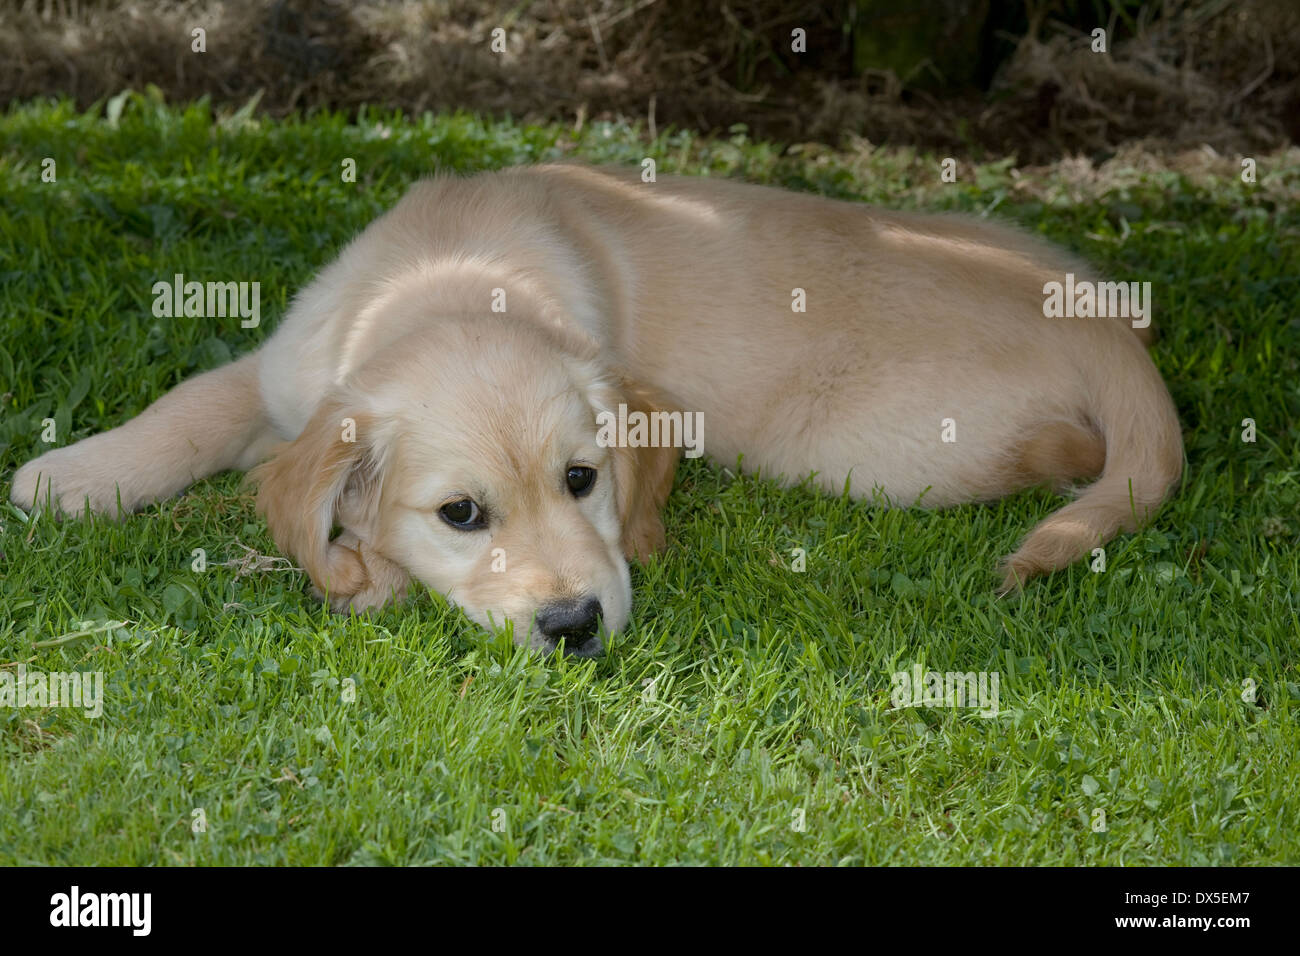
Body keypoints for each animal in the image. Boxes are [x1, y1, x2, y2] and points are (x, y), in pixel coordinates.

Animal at [12, 166, 1190, 658]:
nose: (576, 625)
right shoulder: (288, 369)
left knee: (1065, 450)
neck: (454, 269)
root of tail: (1100, 325)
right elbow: (195, 403)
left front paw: (366, 572)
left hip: (865, 448)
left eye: (583, 481)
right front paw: (70, 474)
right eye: (462, 514)